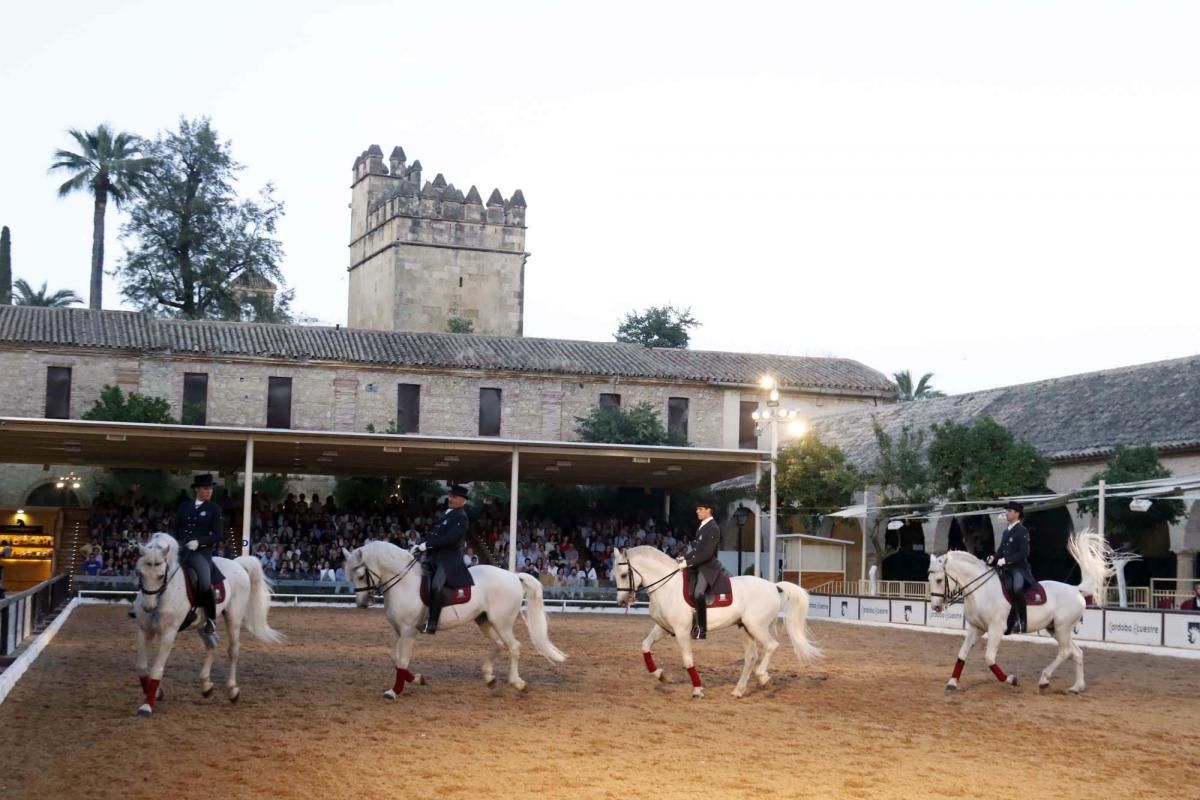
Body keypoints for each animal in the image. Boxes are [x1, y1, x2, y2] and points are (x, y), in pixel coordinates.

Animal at [133, 534, 285, 714]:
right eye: (140, 573)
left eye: (161, 575)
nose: (148, 607)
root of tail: (237, 564)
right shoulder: (143, 630)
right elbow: (142, 667)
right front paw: (155, 692)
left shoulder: (168, 633)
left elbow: (157, 669)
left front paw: (146, 705)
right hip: (203, 624)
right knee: (212, 644)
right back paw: (206, 685)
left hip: (233, 618)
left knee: (233, 651)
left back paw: (232, 691)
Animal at [343, 542, 566, 695]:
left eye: (361, 575)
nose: (361, 603)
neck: (403, 582)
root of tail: (513, 576)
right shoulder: (397, 630)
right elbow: (394, 658)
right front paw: (417, 679)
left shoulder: (408, 630)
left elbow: (403, 660)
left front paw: (394, 691)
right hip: (484, 621)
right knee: (500, 644)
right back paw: (489, 677)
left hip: (502, 622)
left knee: (514, 647)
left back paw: (517, 682)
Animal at [614, 546, 820, 695]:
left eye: (624, 574)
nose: (622, 602)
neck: (668, 586)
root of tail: (774, 586)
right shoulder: (663, 628)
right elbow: (645, 646)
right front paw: (661, 676)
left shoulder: (681, 631)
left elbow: (688, 660)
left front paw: (697, 689)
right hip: (745, 628)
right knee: (751, 657)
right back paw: (738, 690)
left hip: (756, 626)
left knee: (771, 646)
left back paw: (763, 678)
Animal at [926, 527, 1113, 690]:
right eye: (929, 579)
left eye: (939, 580)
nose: (936, 607)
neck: (982, 591)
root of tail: (1075, 590)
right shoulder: (976, 628)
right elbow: (962, 654)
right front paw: (952, 682)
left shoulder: (996, 629)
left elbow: (989, 659)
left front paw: (1011, 679)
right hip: (1056, 629)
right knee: (1076, 652)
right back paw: (1077, 687)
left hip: (1062, 628)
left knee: (1066, 652)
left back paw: (1044, 679)